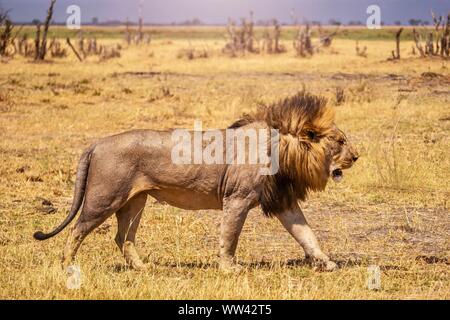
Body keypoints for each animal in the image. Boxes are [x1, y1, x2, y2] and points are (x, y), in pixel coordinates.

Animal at [34, 91, 358, 272]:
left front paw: (327, 263)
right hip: (104, 198)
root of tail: (97, 143)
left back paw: (143, 268)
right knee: (77, 230)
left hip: (135, 201)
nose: (357, 157)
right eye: (340, 141)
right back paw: (67, 266)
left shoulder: (282, 200)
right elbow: (230, 236)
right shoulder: (237, 199)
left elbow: (307, 235)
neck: (285, 152)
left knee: (123, 237)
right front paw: (229, 269)